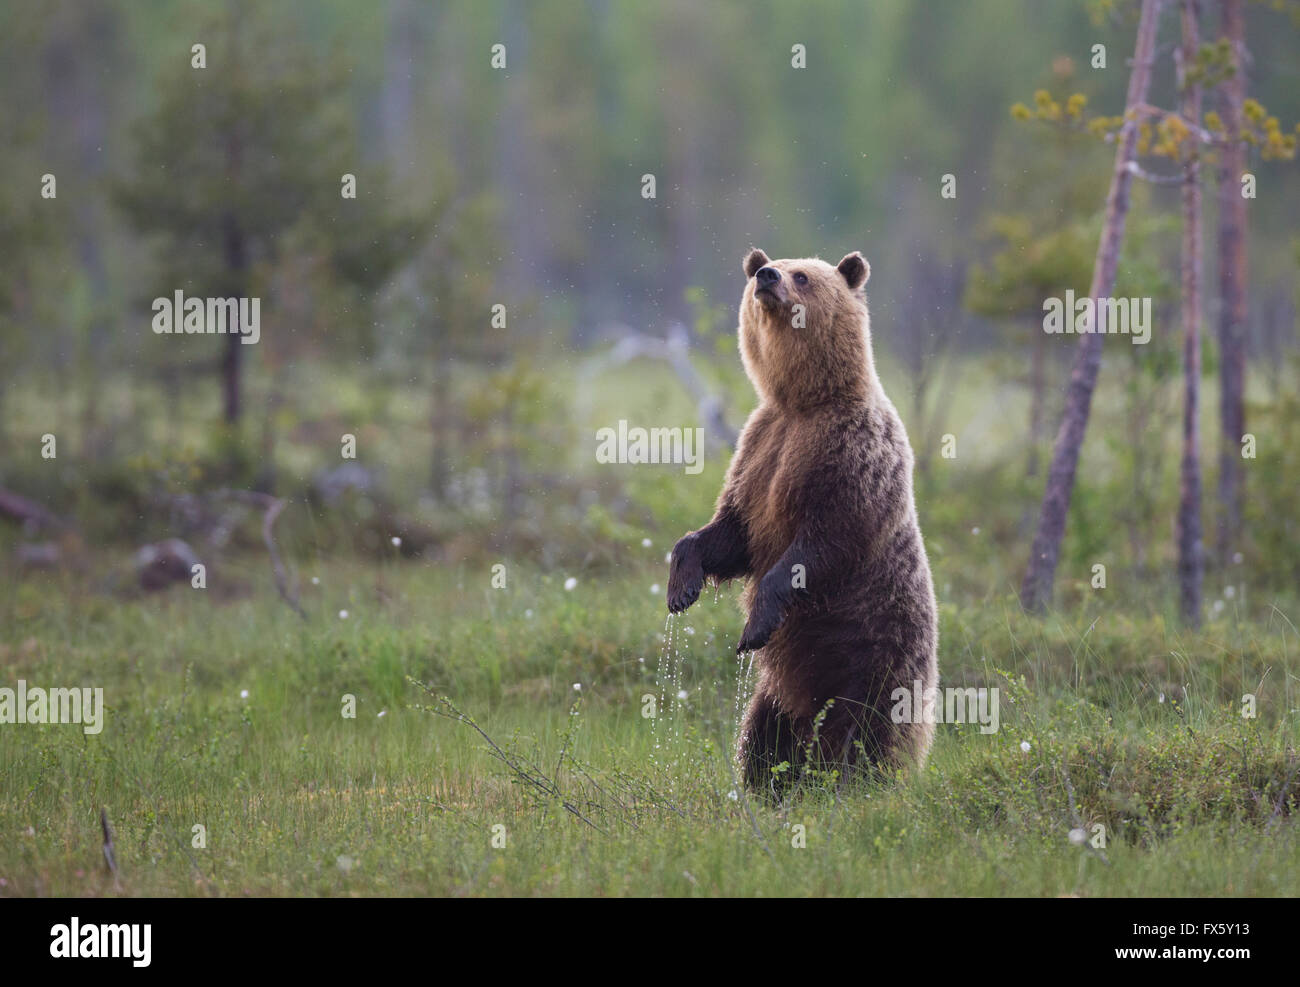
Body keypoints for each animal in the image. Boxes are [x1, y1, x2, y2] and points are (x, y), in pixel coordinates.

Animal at [670, 250, 935, 801]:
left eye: (803, 275)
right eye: (766, 266)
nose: (765, 276)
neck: (804, 402)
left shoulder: (849, 455)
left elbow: (821, 545)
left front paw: (754, 626)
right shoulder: (759, 450)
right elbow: (730, 534)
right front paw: (681, 585)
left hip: (877, 654)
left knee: (868, 730)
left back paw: (857, 784)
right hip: (780, 690)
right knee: (763, 734)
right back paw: (770, 785)